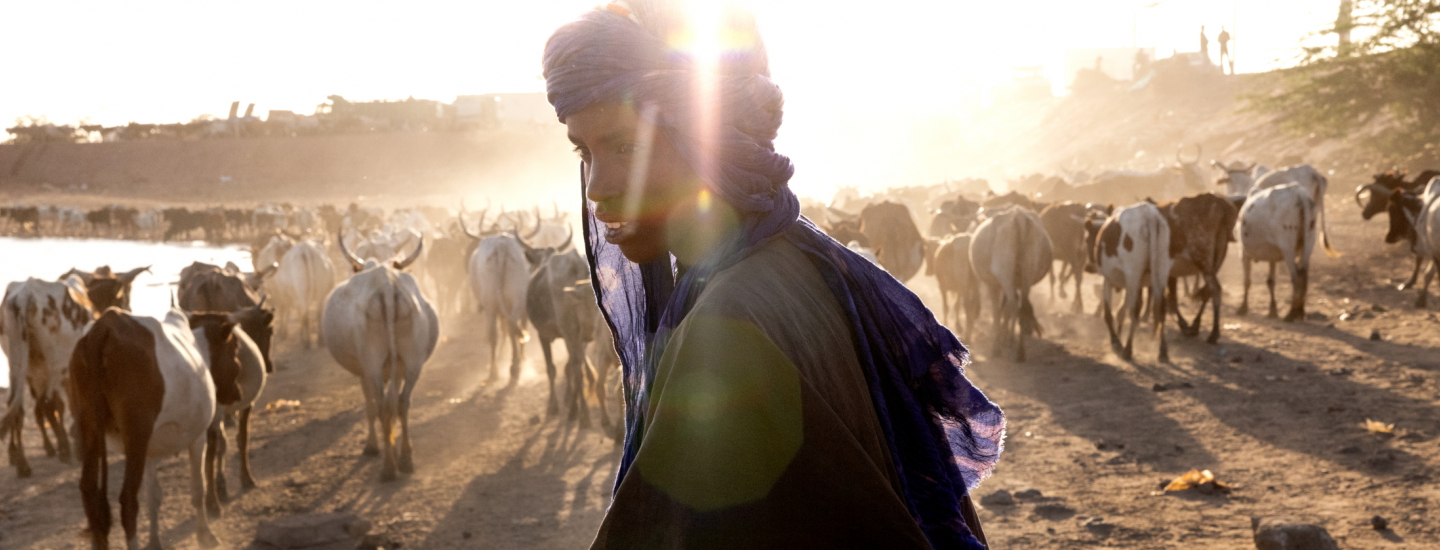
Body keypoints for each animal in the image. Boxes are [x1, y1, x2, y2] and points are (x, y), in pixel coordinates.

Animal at [1, 276, 92, 478]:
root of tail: (24, 293)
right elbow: (71, 404)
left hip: (18, 363)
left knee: (16, 407)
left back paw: (23, 464)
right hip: (57, 363)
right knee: (48, 403)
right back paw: (64, 450)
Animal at [69, 306, 220, 547]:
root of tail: (105, 325)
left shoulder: (149, 451)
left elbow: (153, 497)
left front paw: (155, 541)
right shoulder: (197, 436)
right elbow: (198, 487)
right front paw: (205, 535)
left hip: (89, 425)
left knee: (90, 493)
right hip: (136, 433)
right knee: (128, 499)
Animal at [324, 231, 434, 480]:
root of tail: (386, 284)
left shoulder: (364, 371)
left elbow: (371, 406)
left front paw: (372, 446)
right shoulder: (398, 368)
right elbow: (393, 402)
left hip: (372, 364)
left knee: (381, 406)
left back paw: (389, 468)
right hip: (413, 361)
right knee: (402, 402)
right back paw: (405, 459)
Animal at [961, 205, 1054, 361]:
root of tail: (1019, 217)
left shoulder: (993, 285)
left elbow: (998, 312)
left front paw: (999, 344)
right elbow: (1005, 310)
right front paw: (1006, 339)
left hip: (1004, 273)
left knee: (1013, 304)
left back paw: (1003, 348)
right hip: (1028, 273)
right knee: (1022, 306)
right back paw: (1020, 351)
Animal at [1146, 192, 1238, 339]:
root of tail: (1216, 201)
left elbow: (1170, 299)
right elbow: (1170, 298)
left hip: (1202, 259)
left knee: (1215, 289)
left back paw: (1213, 333)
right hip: (1217, 259)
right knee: (1208, 292)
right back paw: (1196, 325)